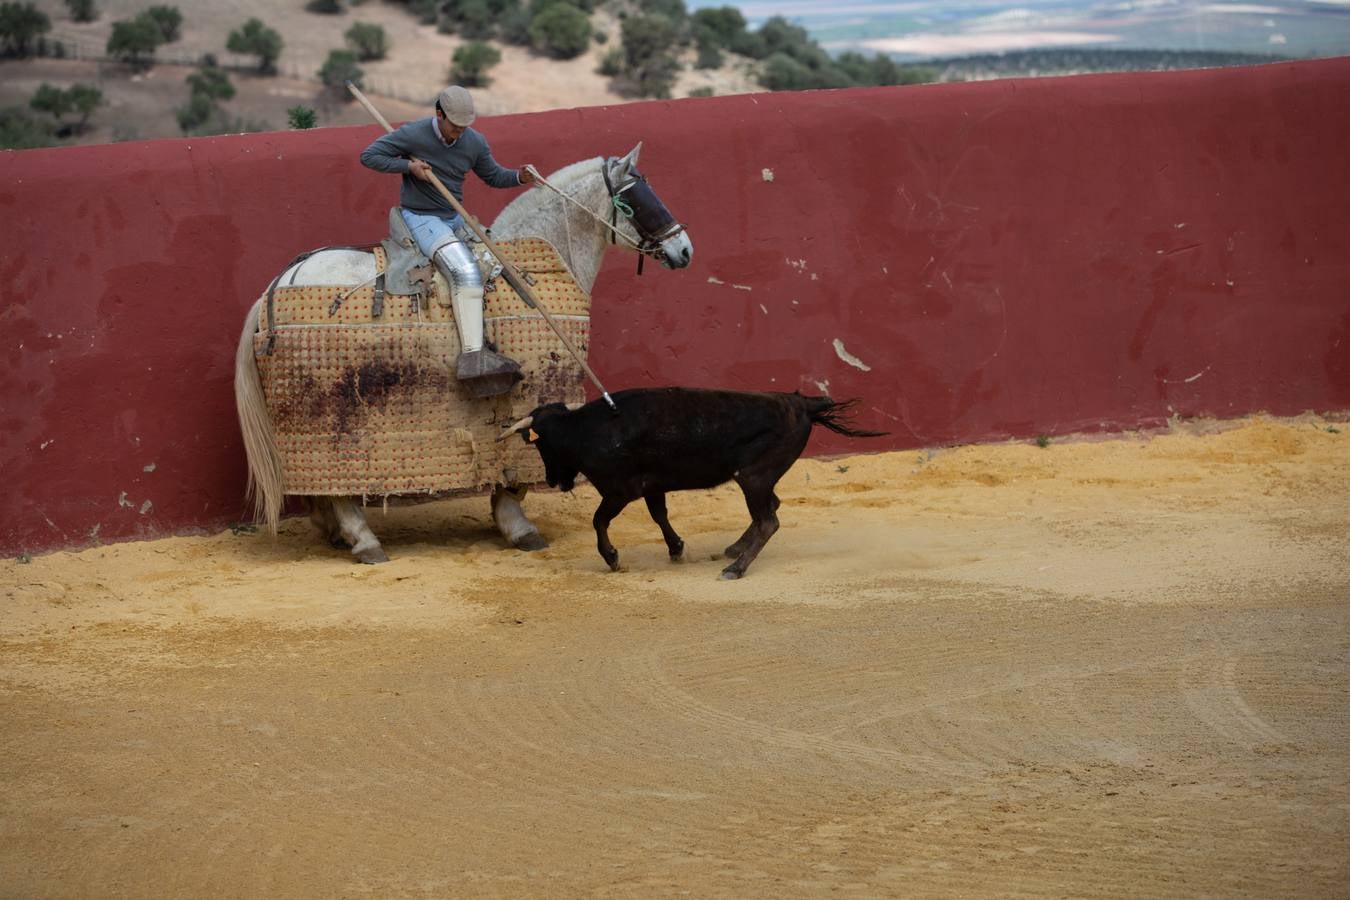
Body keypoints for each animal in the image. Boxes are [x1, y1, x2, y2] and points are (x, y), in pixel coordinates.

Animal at [232, 147, 691, 564]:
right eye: (638, 199)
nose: (684, 250)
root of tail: (274, 287)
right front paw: (518, 527)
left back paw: (332, 530)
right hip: (334, 418)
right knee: (339, 483)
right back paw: (363, 540)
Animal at [502, 391, 891, 580]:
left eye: (540, 444)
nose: (553, 480)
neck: (585, 429)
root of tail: (800, 402)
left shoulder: (620, 491)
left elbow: (599, 520)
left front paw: (612, 558)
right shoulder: (651, 485)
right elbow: (659, 515)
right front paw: (676, 548)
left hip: (753, 476)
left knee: (769, 519)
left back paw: (735, 568)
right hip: (758, 477)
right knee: (771, 509)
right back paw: (734, 549)